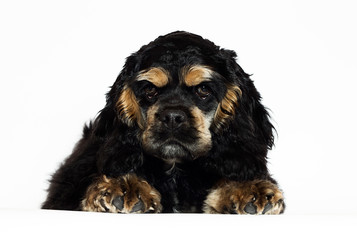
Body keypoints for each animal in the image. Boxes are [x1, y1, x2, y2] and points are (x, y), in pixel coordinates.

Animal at [41, 31, 284, 214]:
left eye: (203, 90)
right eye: (150, 90)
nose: (172, 117)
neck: (176, 168)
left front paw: (248, 189)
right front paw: (123, 186)